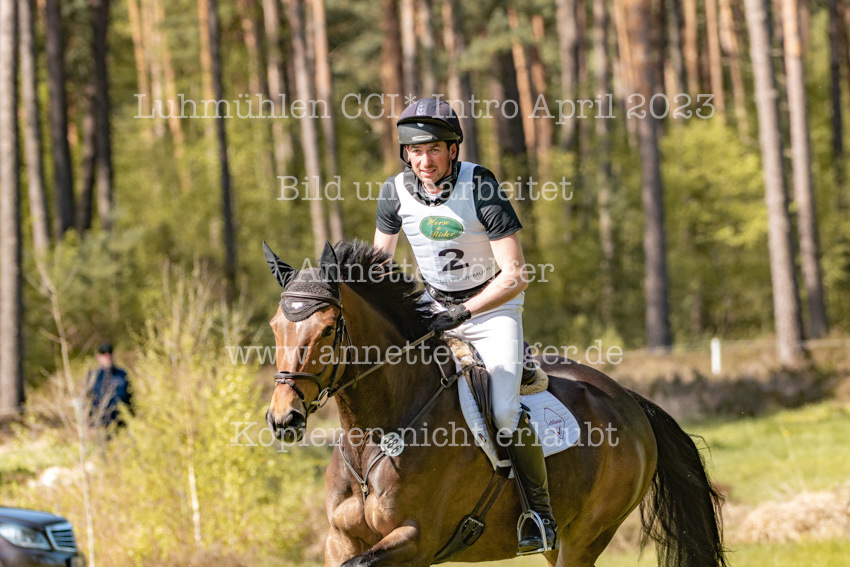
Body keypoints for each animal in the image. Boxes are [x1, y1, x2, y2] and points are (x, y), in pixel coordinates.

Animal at [264, 239, 727, 567]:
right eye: (274, 326)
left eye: (328, 329)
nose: (284, 418)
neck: (373, 434)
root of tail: (629, 400)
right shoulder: (339, 539)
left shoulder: (416, 540)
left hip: (587, 535)